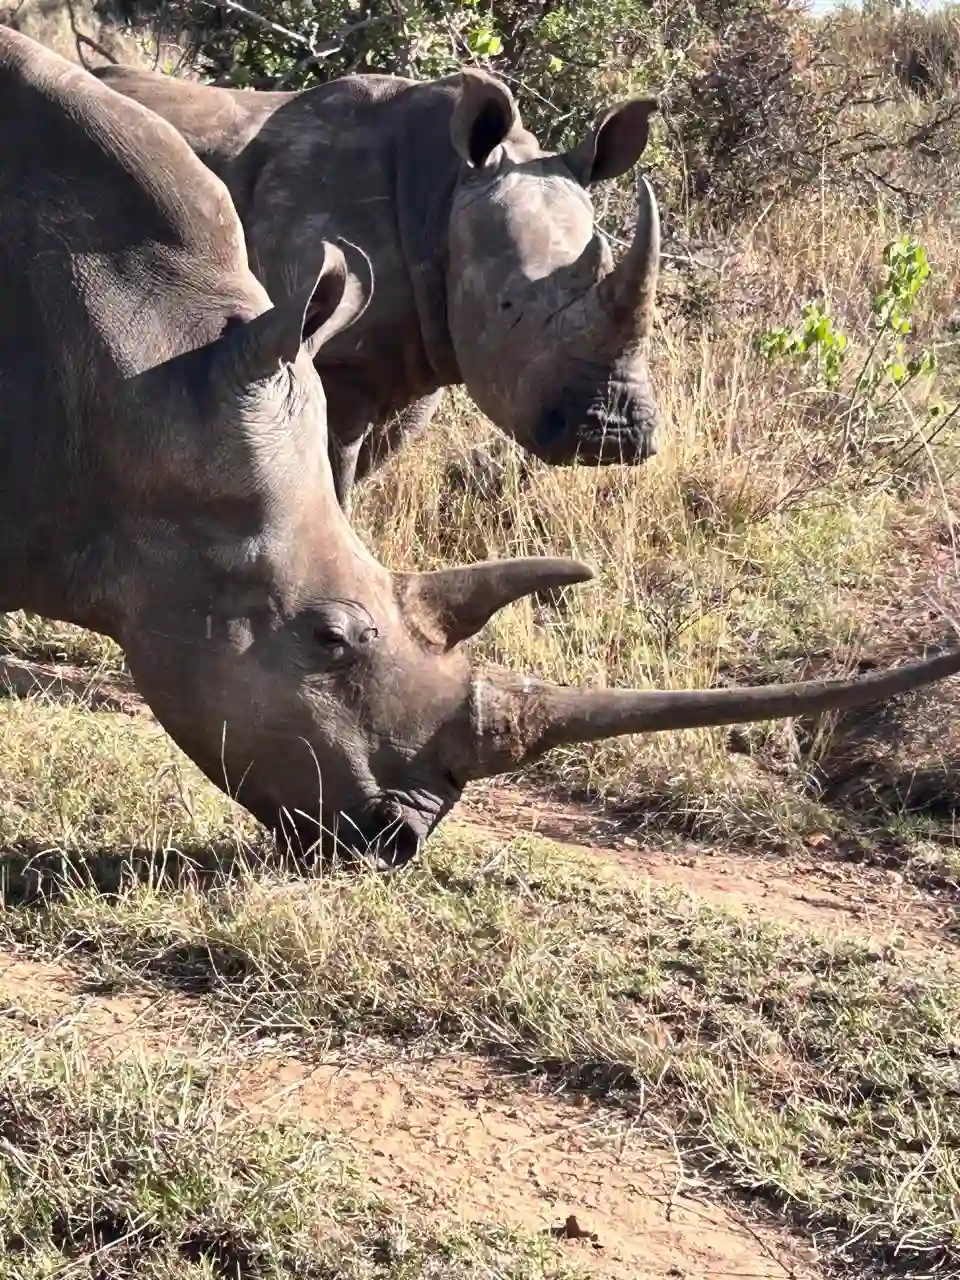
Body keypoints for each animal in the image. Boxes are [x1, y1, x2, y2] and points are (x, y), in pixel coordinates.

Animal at [93, 60, 663, 508]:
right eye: (507, 306)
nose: (616, 438)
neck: (443, 192)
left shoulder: (422, 352)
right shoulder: (328, 357)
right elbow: (329, 472)